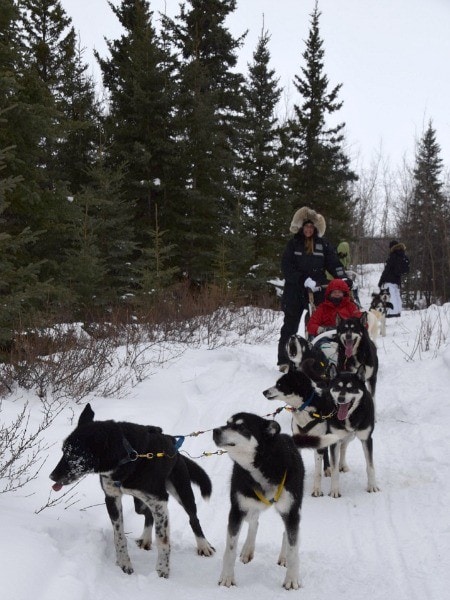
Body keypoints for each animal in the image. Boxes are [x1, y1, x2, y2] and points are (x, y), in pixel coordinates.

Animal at [50, 406, 215, 580]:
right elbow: (119, 536)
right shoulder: (112, 498)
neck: (129, 455)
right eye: (63, 451)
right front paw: (124, 563)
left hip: (182, 493)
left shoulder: (160, 501)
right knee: (148, 515)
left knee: (193, 519)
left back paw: (203, 545)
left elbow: (163, 540)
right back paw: (146, 539)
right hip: (140, 504)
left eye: (74, 455)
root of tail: (174, 446)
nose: (52, 476)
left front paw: (162, 570)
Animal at [214, 412, 338, 592]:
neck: (262, 464)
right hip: (250, 505)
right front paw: (227, 578)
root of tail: (288, 437)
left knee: (286, 532)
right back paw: (247, 549)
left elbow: (294, 550)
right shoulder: (237, 510)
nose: (215, 431)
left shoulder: (291, 512)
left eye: (242, 427)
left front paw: (292, 579)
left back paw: (283, 556)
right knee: (254, 522)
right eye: (227, 423)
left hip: (291, 509)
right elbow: (230, 549)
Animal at [326, 366, 380, 496]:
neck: (350, 416)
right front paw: (334, 490)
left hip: (349, 437)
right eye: (337, 387)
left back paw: (342, 464)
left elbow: (370, 466)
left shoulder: (366, 439)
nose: (340, 398)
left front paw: (372, 486)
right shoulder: (334, 439)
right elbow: (334, 469)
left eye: (351, 388)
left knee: (343, 447)